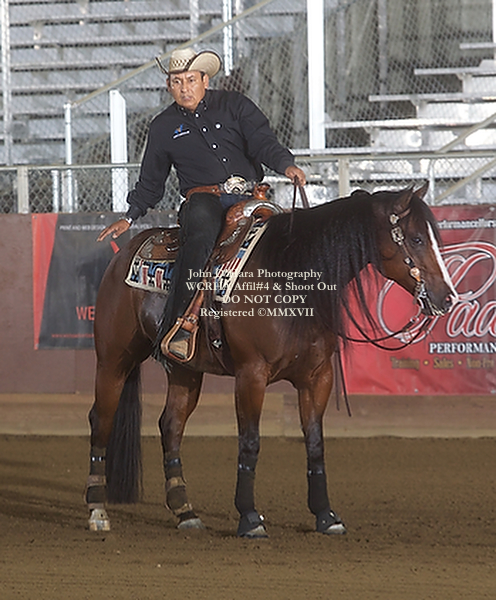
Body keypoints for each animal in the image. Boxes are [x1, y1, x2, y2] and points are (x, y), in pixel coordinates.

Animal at [85, 183, 457, 538]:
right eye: (416, 238)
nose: (447, 297)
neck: (289, 275)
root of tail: (128, 249)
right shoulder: (252, 374)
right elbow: (250, 442)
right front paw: (250, 518)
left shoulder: (318, 377)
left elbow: (315, 443)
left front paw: (326, 515)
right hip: (113, 359)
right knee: (101, 420)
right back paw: (97, 510)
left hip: (184, 370)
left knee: (171, 425)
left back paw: (185, 512)